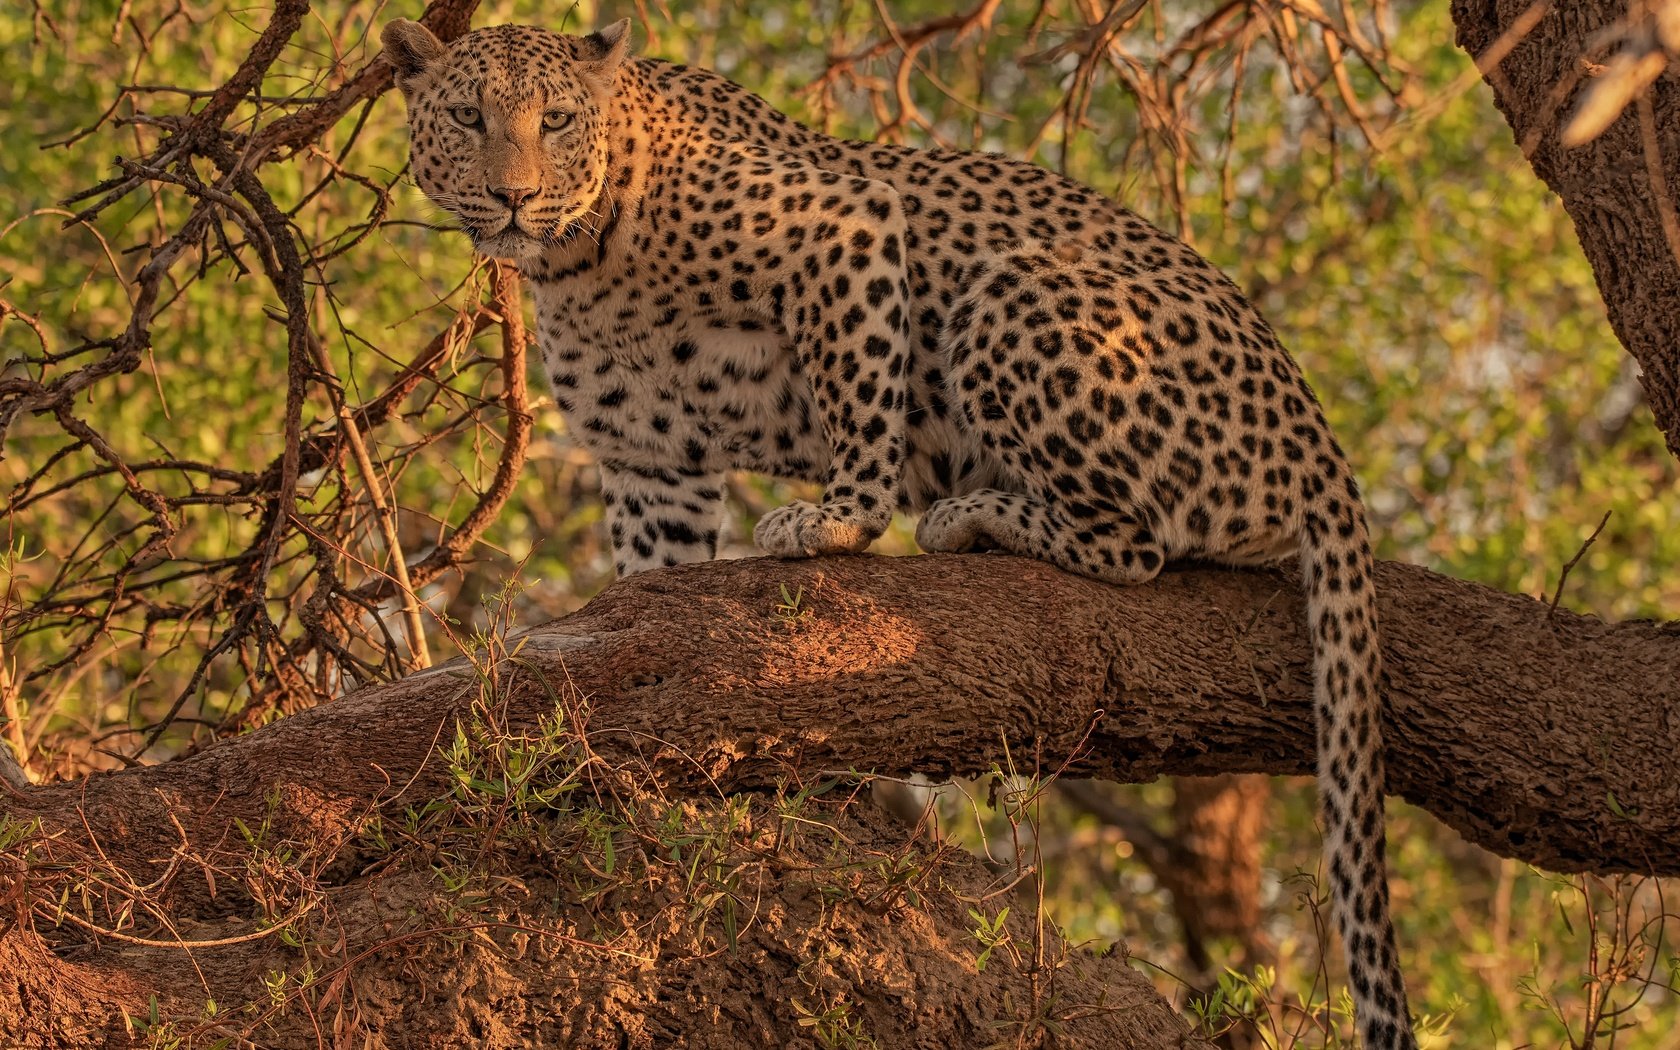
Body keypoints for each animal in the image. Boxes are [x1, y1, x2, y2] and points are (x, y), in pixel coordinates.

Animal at [384, 18, 1417, 1048]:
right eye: (468, 117)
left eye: (556, 120)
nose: (514, 196)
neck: (582, 258)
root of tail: (1322, 446)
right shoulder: (649, 458)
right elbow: (654, 575)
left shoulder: (844, 229)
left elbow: (859, 395)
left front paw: (839, 519)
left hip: (1015, 289)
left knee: (1139, 545)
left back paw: (971, 516)